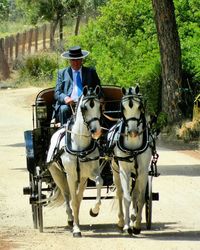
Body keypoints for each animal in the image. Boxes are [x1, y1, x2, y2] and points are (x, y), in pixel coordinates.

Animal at [46, 85, 103, 236]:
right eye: (84, 108)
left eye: (99, 106)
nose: (96, 131)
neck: (79, 145)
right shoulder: (70, 176)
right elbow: (74, 201)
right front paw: (76, 229)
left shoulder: (90, 173)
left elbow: (99, 182)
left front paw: (94, 211)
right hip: (58, 175)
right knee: (67, 196)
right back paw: (71, 219)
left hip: (81, 179)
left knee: (78, 196)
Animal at [109, 85, 152, 234]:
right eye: (123, 108)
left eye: (140, 107)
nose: (133, 132)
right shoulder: (124, 170)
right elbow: (126, 198)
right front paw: (127, 226)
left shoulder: (143, 171)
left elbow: (141, 198)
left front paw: (137, 224)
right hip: (116, 171)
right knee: (120, 193)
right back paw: (122, 220)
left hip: (136, 174)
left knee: (136, 194)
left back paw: (133, 217)